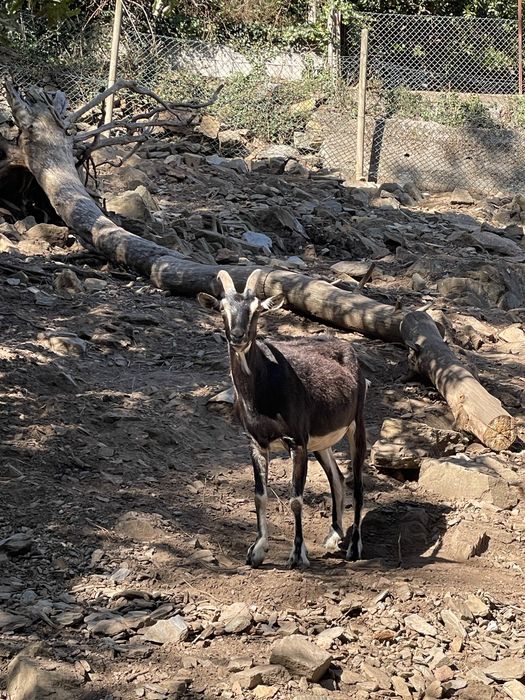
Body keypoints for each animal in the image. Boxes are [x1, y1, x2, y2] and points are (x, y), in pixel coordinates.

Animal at [198, 269, 367, 568]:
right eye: (222, 308)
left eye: (256, 311)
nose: (238, 336)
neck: (264, 389)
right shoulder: (256, 442)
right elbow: (259, 495)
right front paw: (256, 550)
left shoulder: (296, 441)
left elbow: (296, 498)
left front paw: (297, 554)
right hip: (320, 442)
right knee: (337, 478)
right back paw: (334, 535)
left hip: (356, 423)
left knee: (357, 483)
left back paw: (354, 547)